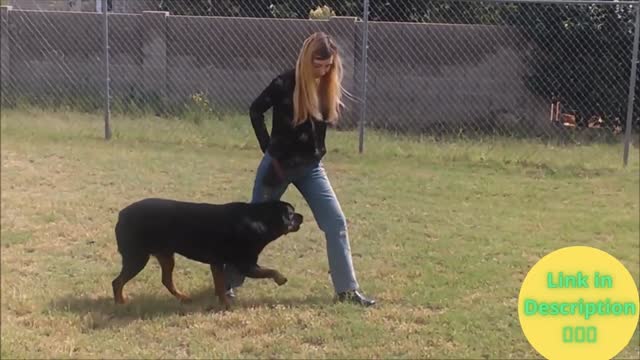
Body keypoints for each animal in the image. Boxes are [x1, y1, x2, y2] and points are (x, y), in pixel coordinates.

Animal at [111, 197, 304, 310]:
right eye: (292, 214)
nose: (302, 216)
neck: (259, 220)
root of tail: (121, 214)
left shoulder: (217, 263)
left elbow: (219, 286)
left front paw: (224, 304)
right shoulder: (246, 264)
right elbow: (270, 270)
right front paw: (281, 278)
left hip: (165, 256)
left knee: (166, 280)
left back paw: (183, 298)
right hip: (137, 257)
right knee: (117, 282)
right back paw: (120, 302)